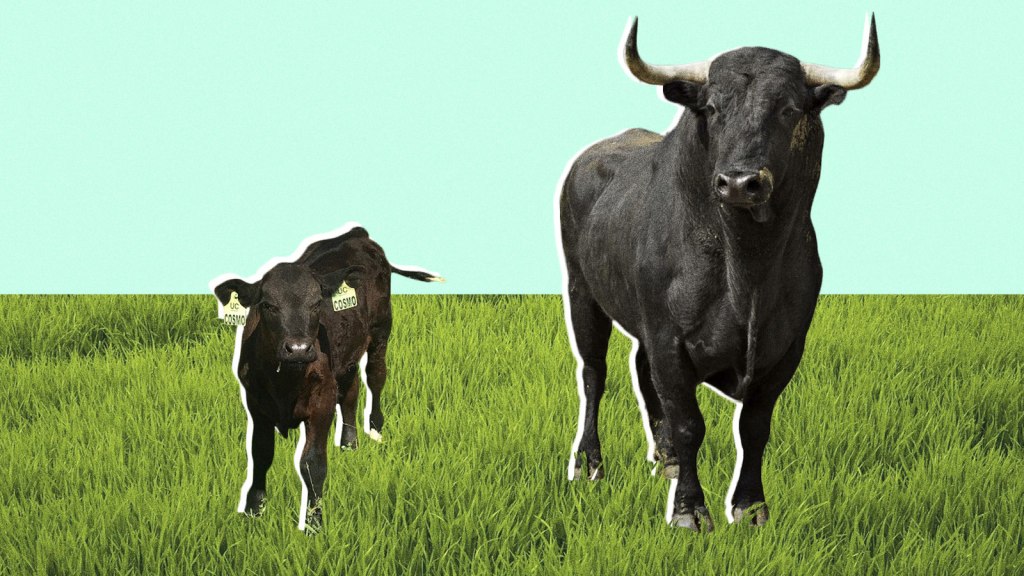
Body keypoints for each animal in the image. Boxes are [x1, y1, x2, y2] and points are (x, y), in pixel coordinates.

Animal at [212, 225, 443, 531]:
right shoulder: (256, 403)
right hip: (346, 359)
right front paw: (253, 510)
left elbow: (312, 463)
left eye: (316, 304)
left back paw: (375, 428)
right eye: (268, 305)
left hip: (381, 329)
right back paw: (349, 444)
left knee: (376, 376)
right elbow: (260, 455)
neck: (286, 381)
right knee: (351, 391)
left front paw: (313, 523)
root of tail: (357, 233)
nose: (299, 348)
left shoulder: (321, 402)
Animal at [558, 16, 879, 532]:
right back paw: (590, 462)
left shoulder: (786, 349)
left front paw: (750, 507)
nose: (741, 182)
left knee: (639, 369)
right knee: (593, 374)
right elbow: (691, 424)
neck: (747, 271)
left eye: (790, 108)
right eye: (711, 107)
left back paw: (664, 455)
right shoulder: (669, 340)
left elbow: (754, 428)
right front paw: (689, 511)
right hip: (581, 292)